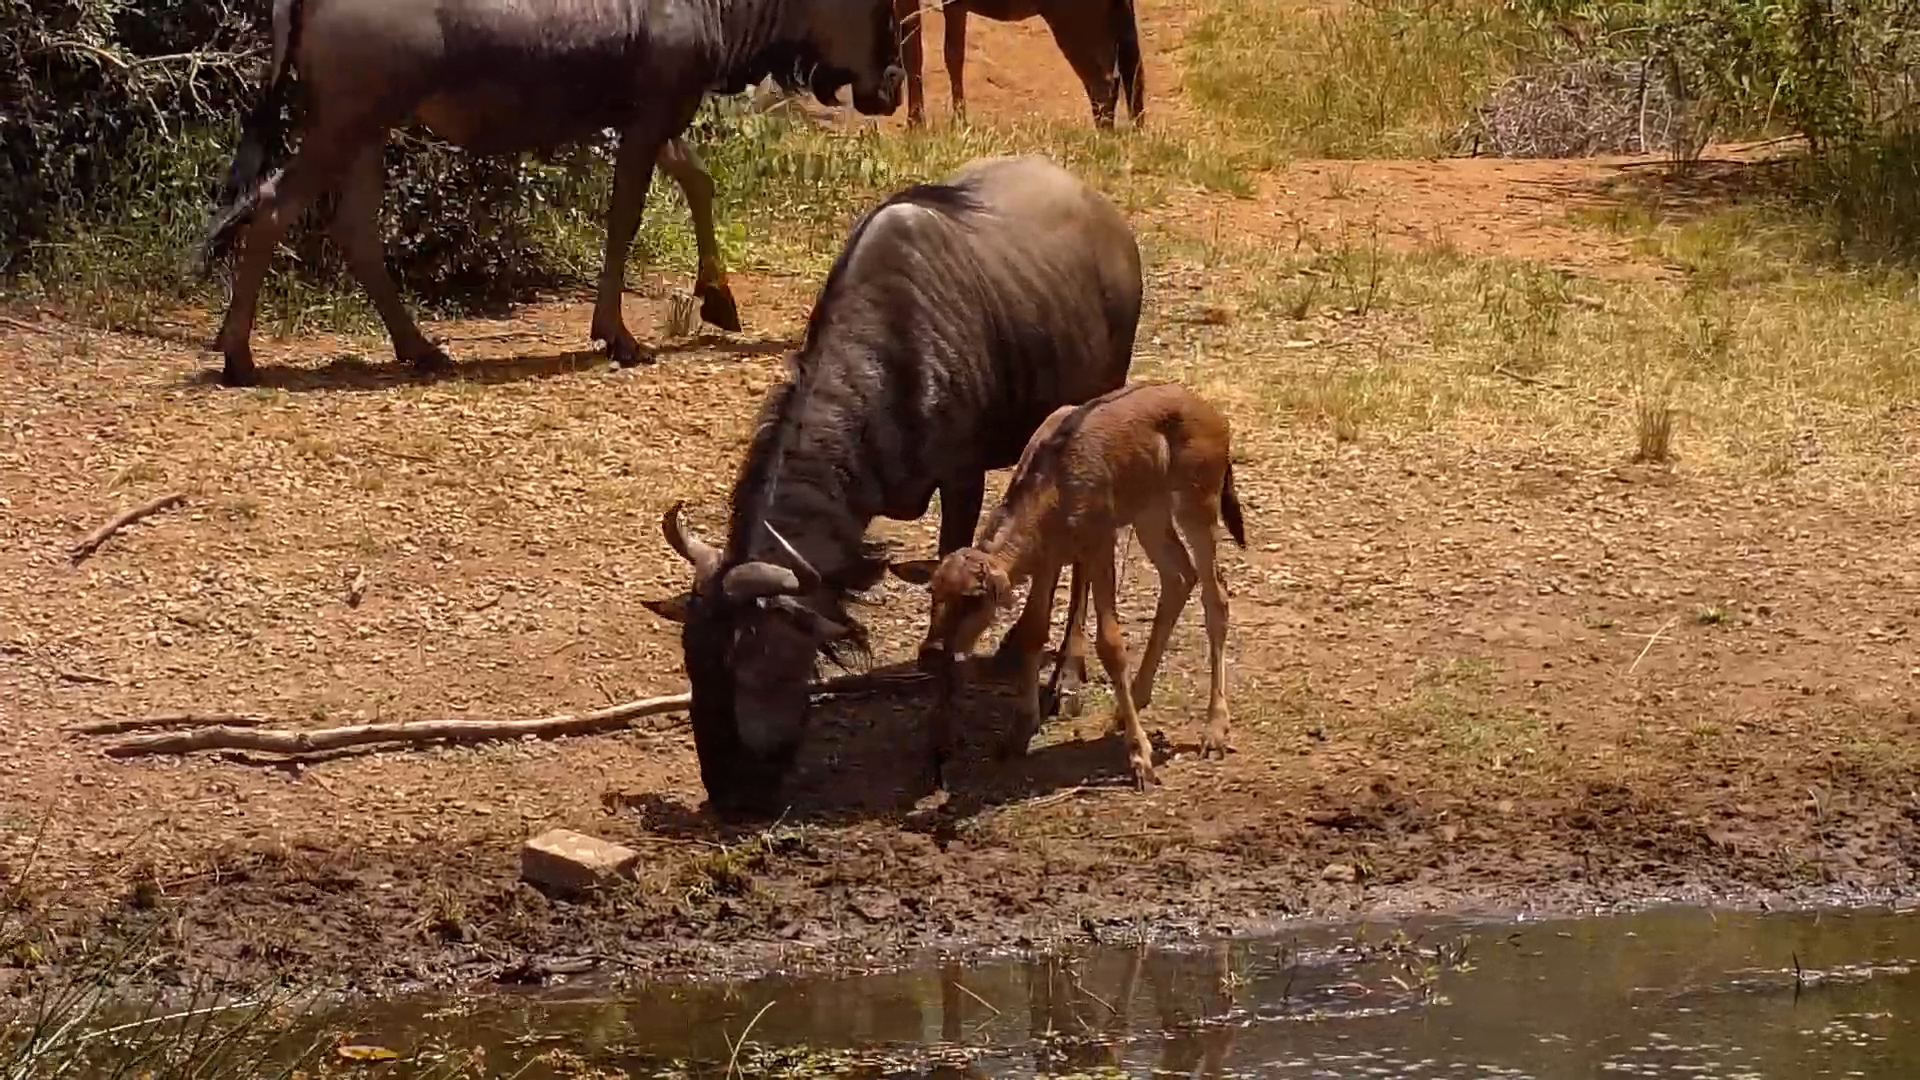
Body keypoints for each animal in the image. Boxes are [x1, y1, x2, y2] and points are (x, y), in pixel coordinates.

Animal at [194, 0, 907, 386]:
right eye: (882, 6)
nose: (895, 85)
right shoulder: (650, 116)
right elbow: (626, 217)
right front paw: (619, 336)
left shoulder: (651, 119)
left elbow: (697, 181)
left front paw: (718, 299)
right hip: (347, 125)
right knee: (273, 210)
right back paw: (238, 356)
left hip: (366, 130)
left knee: (353, 232)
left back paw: (420, 349)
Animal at [643, 154, 1143, 817]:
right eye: (693, 665)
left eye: (754, 664)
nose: (730, 795)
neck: (890, 360)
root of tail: (1111, 221)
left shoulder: (962, 481)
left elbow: (947, 627)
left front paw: (938, 753)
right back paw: (1017, 647)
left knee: (1085, 554)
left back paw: (1065, 677)